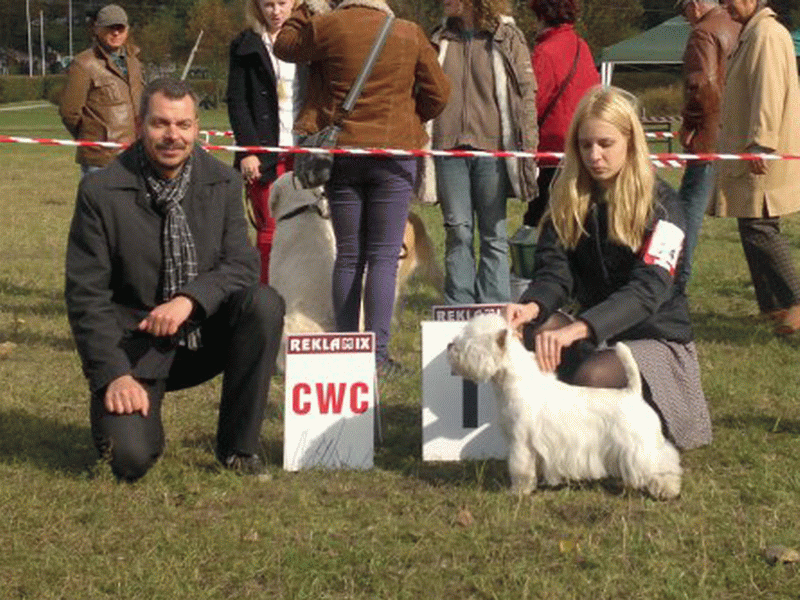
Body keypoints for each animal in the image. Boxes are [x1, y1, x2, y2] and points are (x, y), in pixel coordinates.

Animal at [446, 313, 682, 499]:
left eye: (469, 342)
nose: (449, 346)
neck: (516, 383)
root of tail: (633, 392)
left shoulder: (520, 442)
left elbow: (521, 468)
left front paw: (518, 491)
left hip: (638, 446)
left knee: (660, 465)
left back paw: (667, 490)